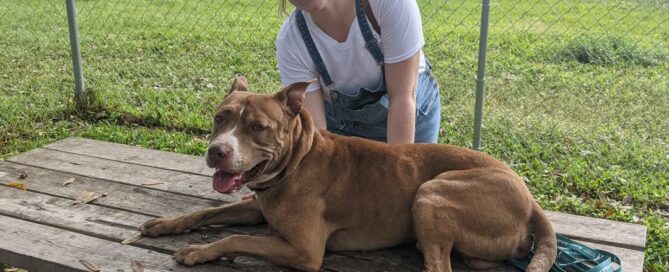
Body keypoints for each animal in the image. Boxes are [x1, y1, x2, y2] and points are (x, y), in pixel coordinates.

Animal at [138, 76, 556, 272]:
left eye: (257, 127)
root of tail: (531, 201)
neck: (297, 160)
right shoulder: (256, 204)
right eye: (219, 118)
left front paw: (197, 251)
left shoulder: (305, 251)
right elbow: (207, 212)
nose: (217, 151)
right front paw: (166, 225)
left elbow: (234, 237)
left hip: (431, 192)